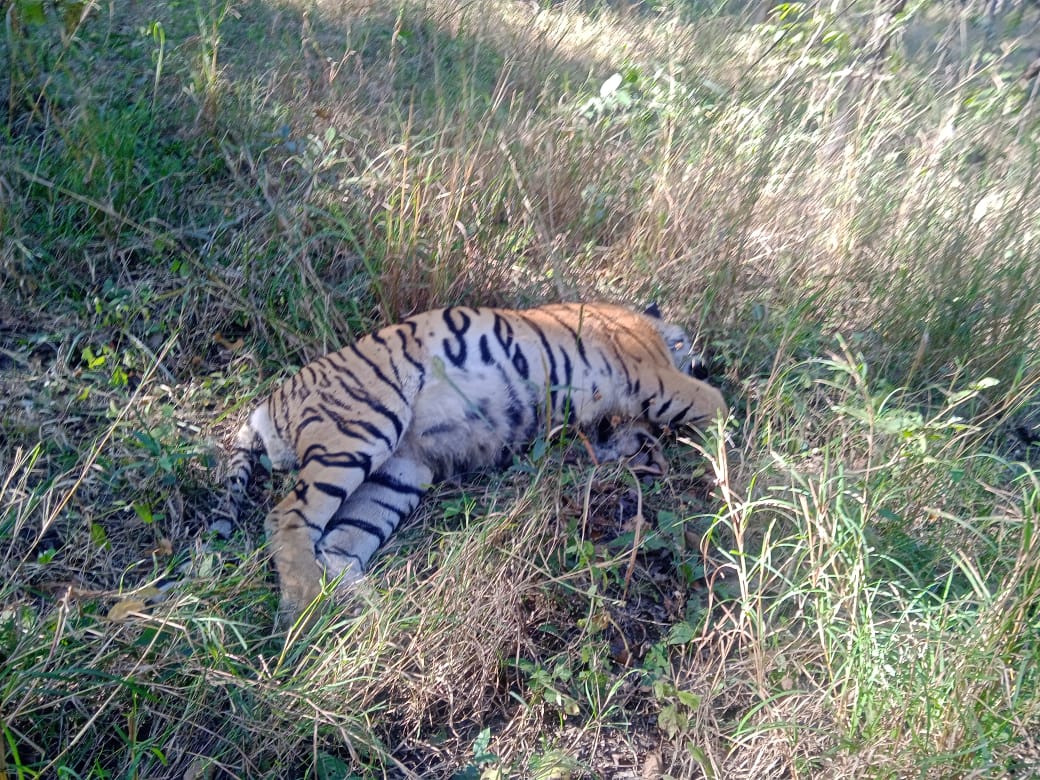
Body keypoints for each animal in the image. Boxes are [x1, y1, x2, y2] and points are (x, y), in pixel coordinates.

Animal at [217, 302, 728, 618]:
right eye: (688, 344)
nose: (706, 362)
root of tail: (268, 403)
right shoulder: (654, 376)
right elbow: (714, 404)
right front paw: (731, 466)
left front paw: (648, 453)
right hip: (362, 427)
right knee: (287, 517)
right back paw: (304, 609)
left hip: (399, 473)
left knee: (339, 546)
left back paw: (382, 615)